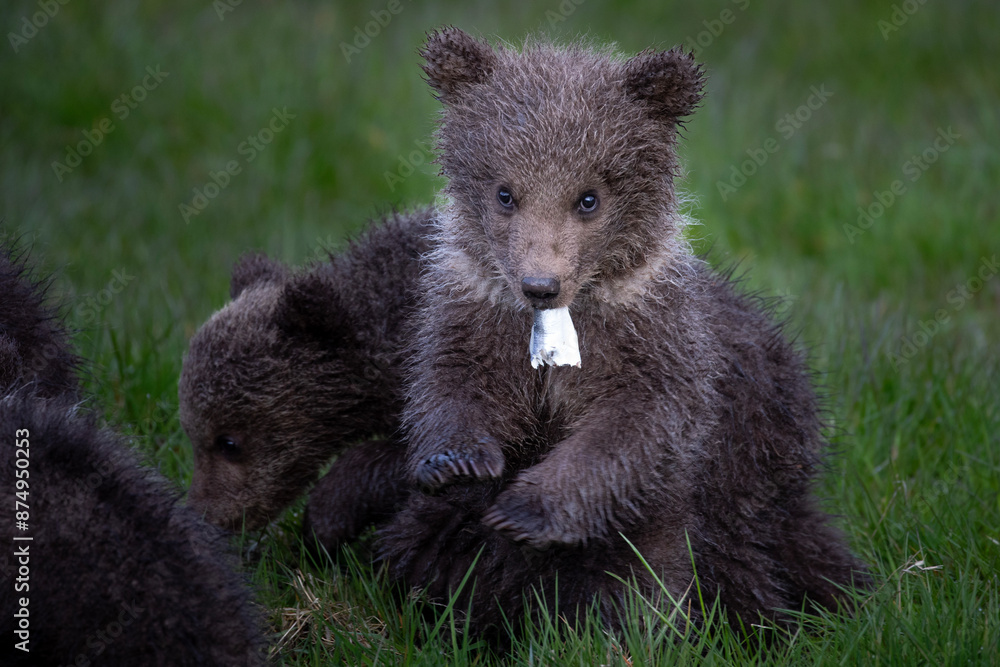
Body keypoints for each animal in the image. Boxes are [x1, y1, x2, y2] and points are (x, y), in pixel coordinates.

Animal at [308, 28, 869, 645]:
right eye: (505, 193)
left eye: (588, 197)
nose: (539, 284)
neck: (562, 324)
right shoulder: (473, 315)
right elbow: (451, 386)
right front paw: (456, 461)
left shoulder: (653, 344)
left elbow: (633, 430)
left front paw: (527, 511)